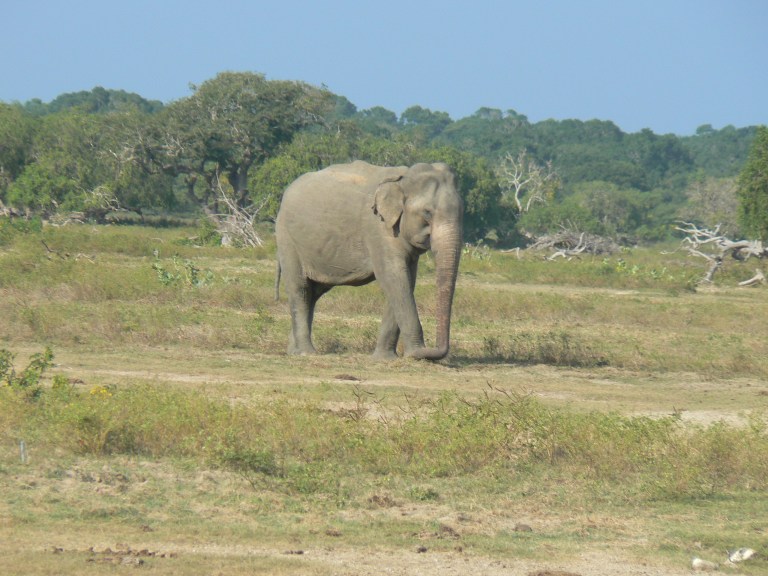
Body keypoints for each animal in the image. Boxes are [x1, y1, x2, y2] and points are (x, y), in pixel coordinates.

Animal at [275, 160, 463, 360]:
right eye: (427, 213)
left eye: (462, 212)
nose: (432, 350)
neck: (402, 179)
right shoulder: (377, 229)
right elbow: (393, 277)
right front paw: (415, 353)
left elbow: (407, 281)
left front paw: (385, 358)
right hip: (287, 240)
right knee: (300, 288)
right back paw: (306, 353)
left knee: (313, 292)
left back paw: (293, 352)